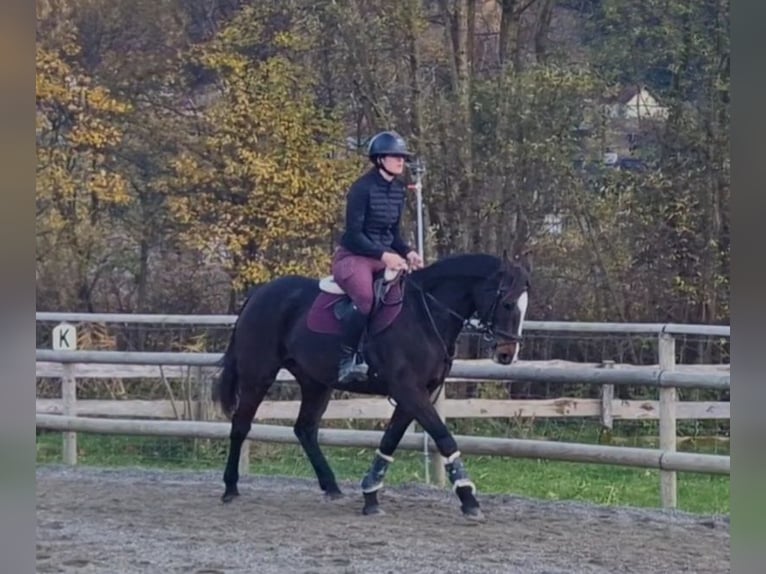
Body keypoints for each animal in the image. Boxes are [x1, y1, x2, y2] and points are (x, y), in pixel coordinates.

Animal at [212, 250, 532, 520]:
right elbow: (444, 438)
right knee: (241, 425)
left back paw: (331, 487)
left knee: (305, 429)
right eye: (506, 303)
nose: (507, 354)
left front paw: (370, 495)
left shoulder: (417, 393)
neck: (425, 315)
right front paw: (468, 498)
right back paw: (230, 488)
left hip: (316, 383)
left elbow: (390, 440)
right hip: (258, 376)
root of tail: (259, 294)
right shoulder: (409, 391)